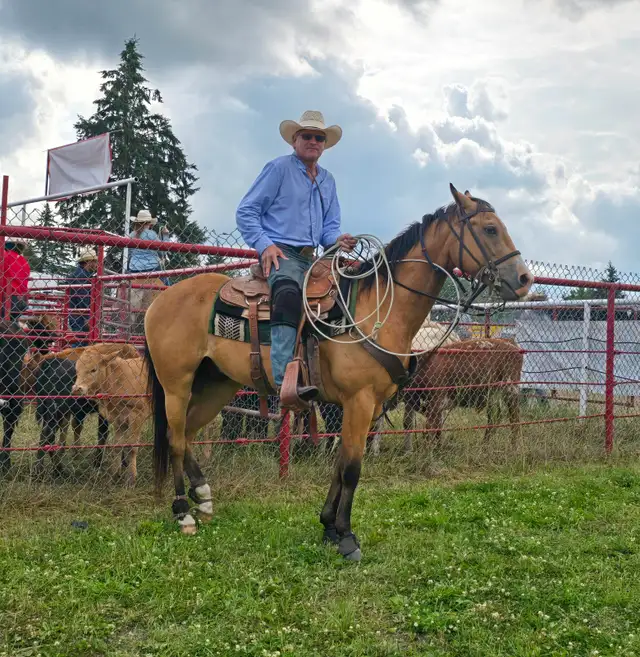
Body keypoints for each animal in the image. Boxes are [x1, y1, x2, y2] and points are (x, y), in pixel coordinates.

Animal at [143, 185, 533, 560]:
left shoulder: (366, 406)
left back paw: (204, 496)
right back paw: (183, 511)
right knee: (175, 437)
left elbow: (340, 462)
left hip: (218, 384)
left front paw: (329, 526)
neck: (375, 312)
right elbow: (351, 468)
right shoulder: (358, 401)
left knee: (189, 432)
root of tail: (161, 300)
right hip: (177, 384)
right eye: (490, 228)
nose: (524, 279)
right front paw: (346, 537)